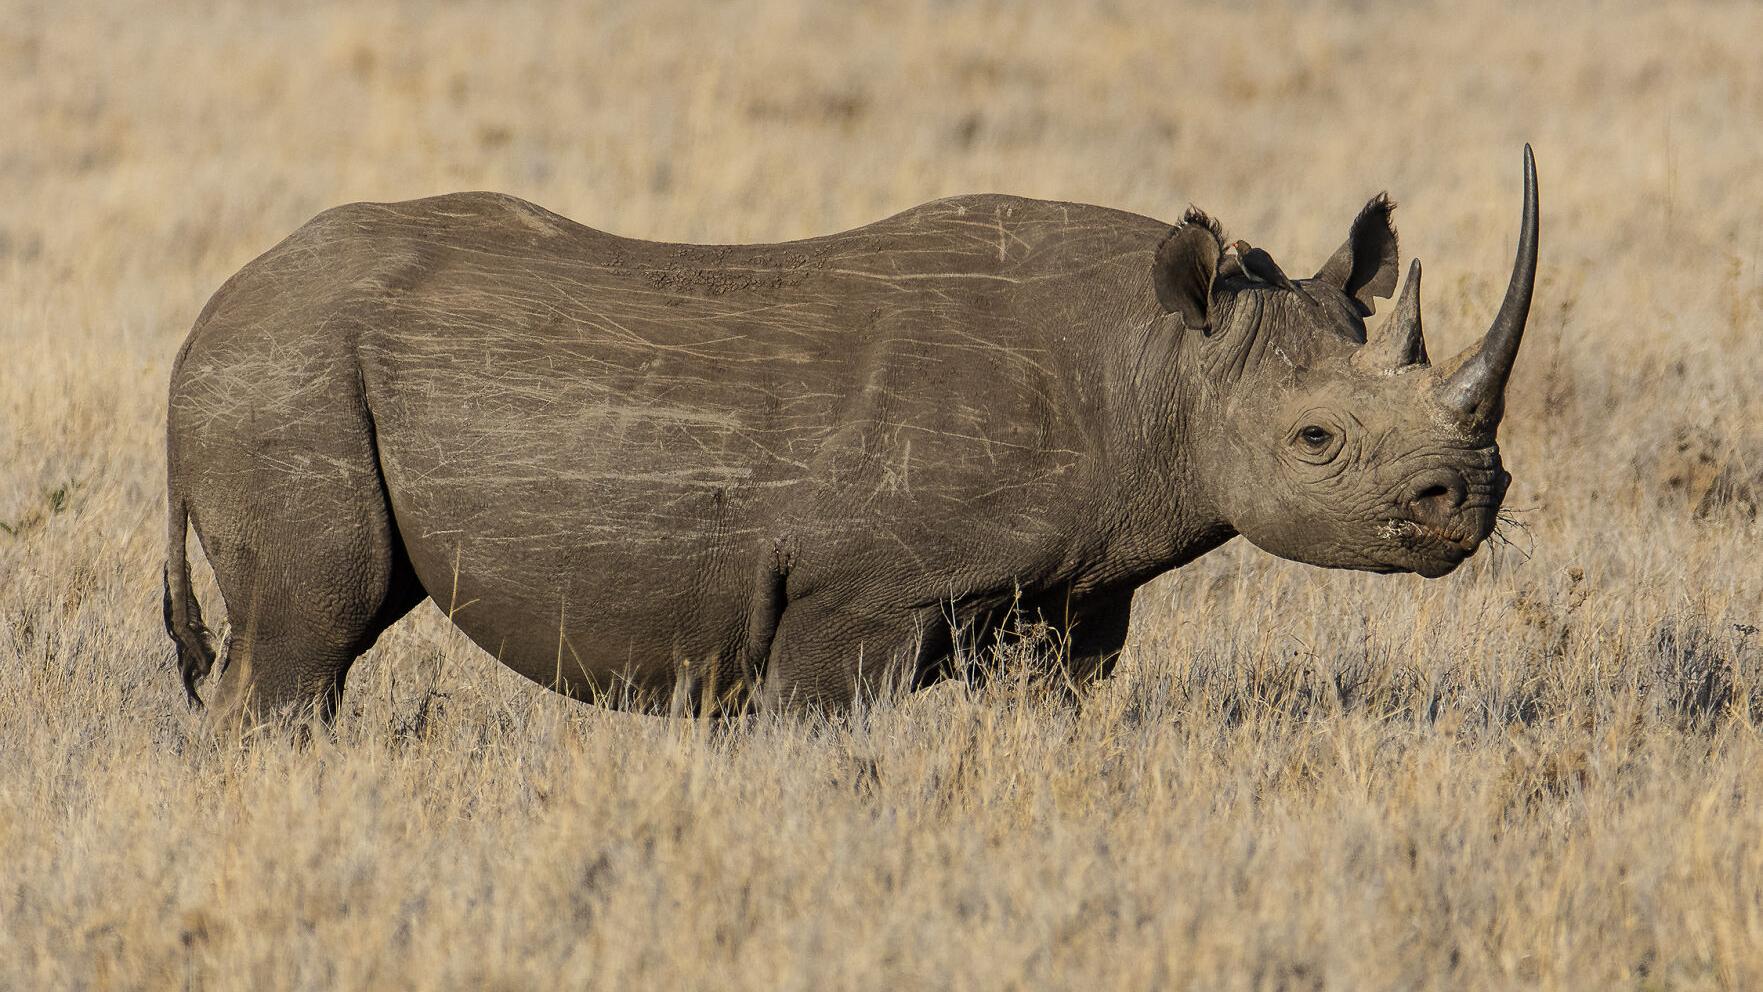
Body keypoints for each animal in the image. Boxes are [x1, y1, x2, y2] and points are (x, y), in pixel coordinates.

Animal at [164, 147, 1539, 726]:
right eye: (1314, 439)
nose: (1463, 503)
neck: (1159, 361)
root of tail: (208, 315)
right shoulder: (854, 593)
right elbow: (821, 727)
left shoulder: (1068, 591)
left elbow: (1051, 716)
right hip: (286, 374)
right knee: (307, 635)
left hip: (285, 366)